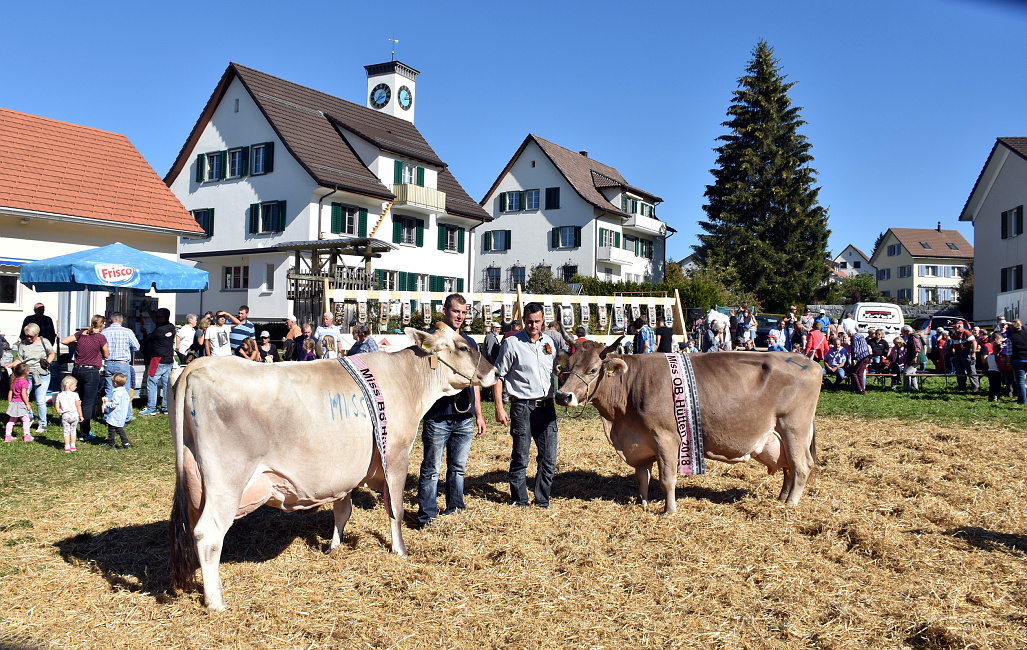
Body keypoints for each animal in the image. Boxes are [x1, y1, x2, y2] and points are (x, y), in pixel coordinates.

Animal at [166, 322, 495, 607]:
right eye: (463, 347)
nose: (494, 372)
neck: (406, 381)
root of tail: (197, 366)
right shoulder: (396, 456)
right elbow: (396, 509)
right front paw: (400, 551)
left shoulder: (345, 472)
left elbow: (342, 511)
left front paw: (334, 547)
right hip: (227, 481)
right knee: (208, 534)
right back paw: (216, 602)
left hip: (196, 481)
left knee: (194, 531)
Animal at [554, 334, 817, 511]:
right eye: (567, 367)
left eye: (593, 370)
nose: (562, 396)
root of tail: (807, 361)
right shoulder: (638, 442)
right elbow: (642, 477)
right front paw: (642, 503)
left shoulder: (666, 437)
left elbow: (667, 479)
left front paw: (669, 511)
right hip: (782, 436)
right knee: (789, 467)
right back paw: (782, 498)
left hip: (794, 429)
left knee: (802, 466)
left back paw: (790, 504)